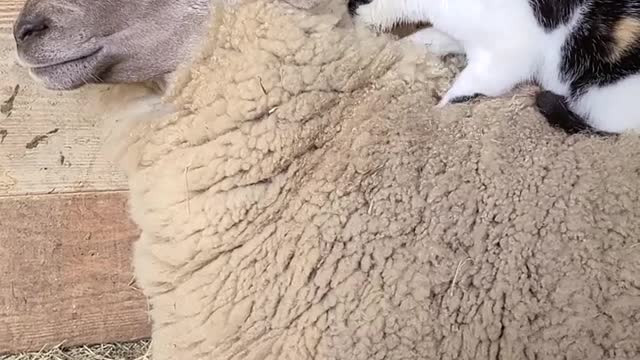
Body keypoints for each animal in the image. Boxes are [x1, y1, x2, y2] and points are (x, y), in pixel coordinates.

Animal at [348, 0, 640, 134]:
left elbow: (467, 85)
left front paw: (440, 106)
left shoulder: (508, 55)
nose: (349, 9)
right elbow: (435, 38)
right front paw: (410, 45)